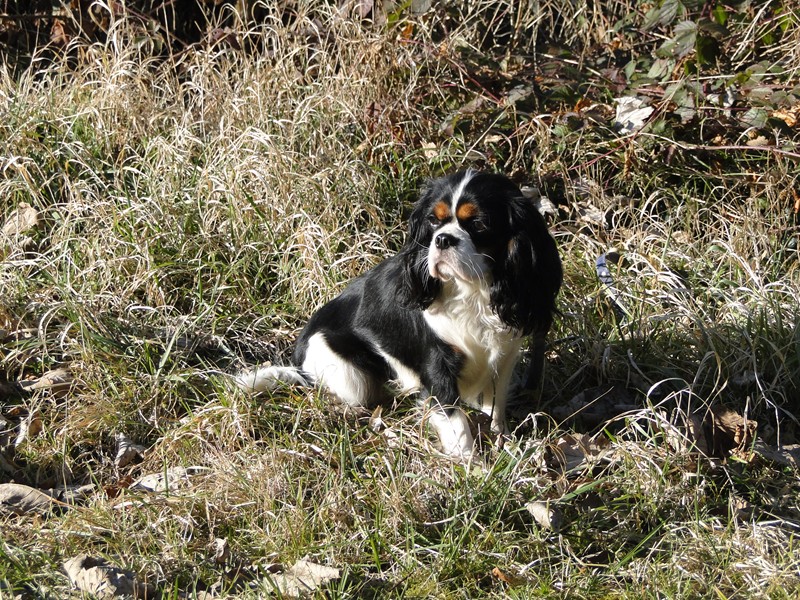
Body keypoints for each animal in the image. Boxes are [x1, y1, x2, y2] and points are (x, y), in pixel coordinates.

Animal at [238, 171, 564, 458]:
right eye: (434, 221)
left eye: (478, 223)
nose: (443, 239)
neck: (473, 291)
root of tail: (300, 364)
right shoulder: (437, 365)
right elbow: (456, 423)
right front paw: (470, 466)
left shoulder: (503, 358)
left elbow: (495, 407)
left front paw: (503, 442)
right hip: (345, 371)